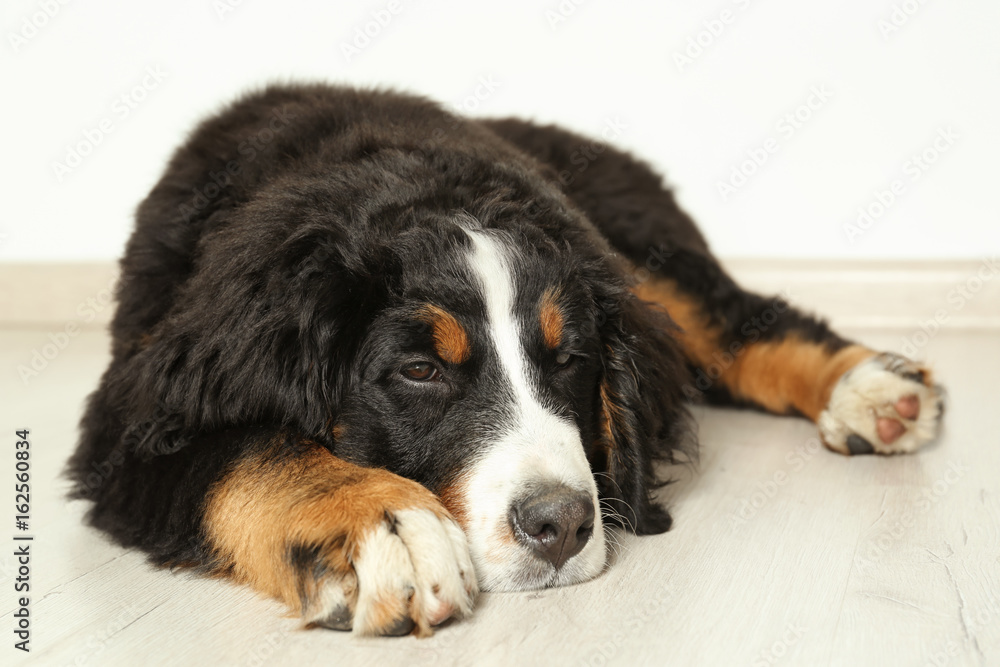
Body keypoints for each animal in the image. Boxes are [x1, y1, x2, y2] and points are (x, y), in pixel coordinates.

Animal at [68, 82, 944, 636]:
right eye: (420, 371)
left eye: (571, 357)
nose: (561, 525)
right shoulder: (134, 423)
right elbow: (255, 453)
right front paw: (389, 526)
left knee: (741, 319)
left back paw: (871, 390)